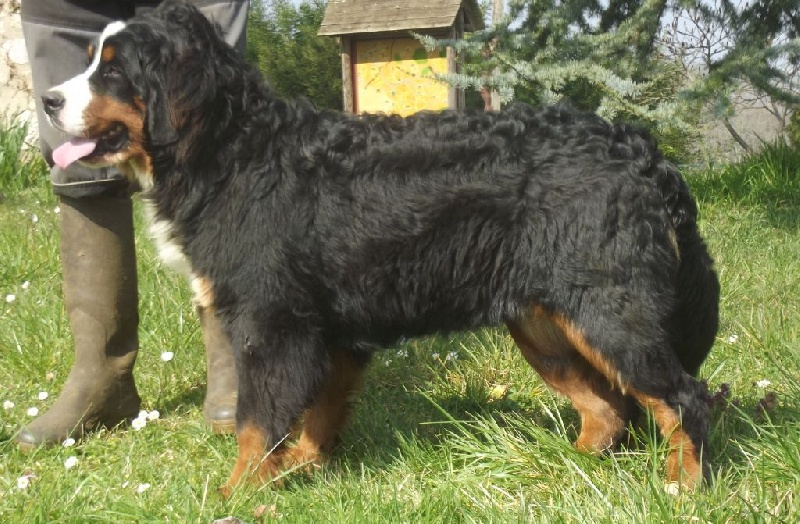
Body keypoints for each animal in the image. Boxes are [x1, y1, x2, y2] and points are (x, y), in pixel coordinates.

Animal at [42, 1, 719, 495]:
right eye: (91, 60)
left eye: (112, 71)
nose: (48, 100)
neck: (233, 149)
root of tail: (642, 152)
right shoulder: (329, 331)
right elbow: (317, 413)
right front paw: (303, 469)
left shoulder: (271, 323)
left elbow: (256, 422)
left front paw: (236, 494)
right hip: (545, 324)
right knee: (609, 407)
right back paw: (565, 464)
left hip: (607, 312)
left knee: (683, 399)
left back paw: (682, 488)